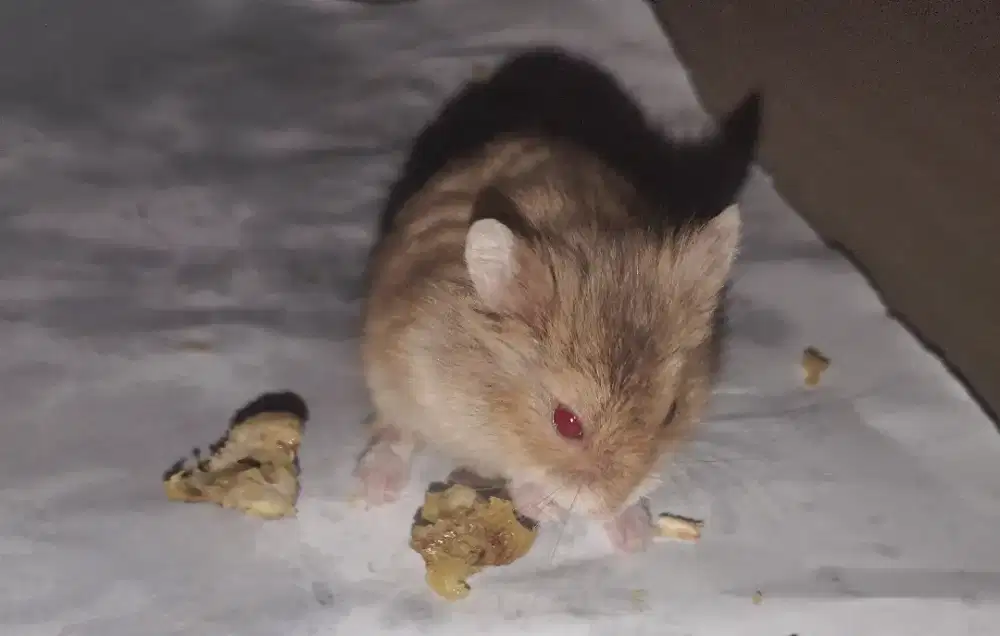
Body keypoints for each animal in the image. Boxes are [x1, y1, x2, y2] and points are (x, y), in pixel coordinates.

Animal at [356, 47, 761, 553]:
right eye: (566, 423)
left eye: (671, 413)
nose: (608, 504)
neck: (497, 402)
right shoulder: (430, 381)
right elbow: (515, 468)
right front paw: (547, 506)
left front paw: (633, 534)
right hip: (386, 373)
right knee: (394, 430)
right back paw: (374, 488)